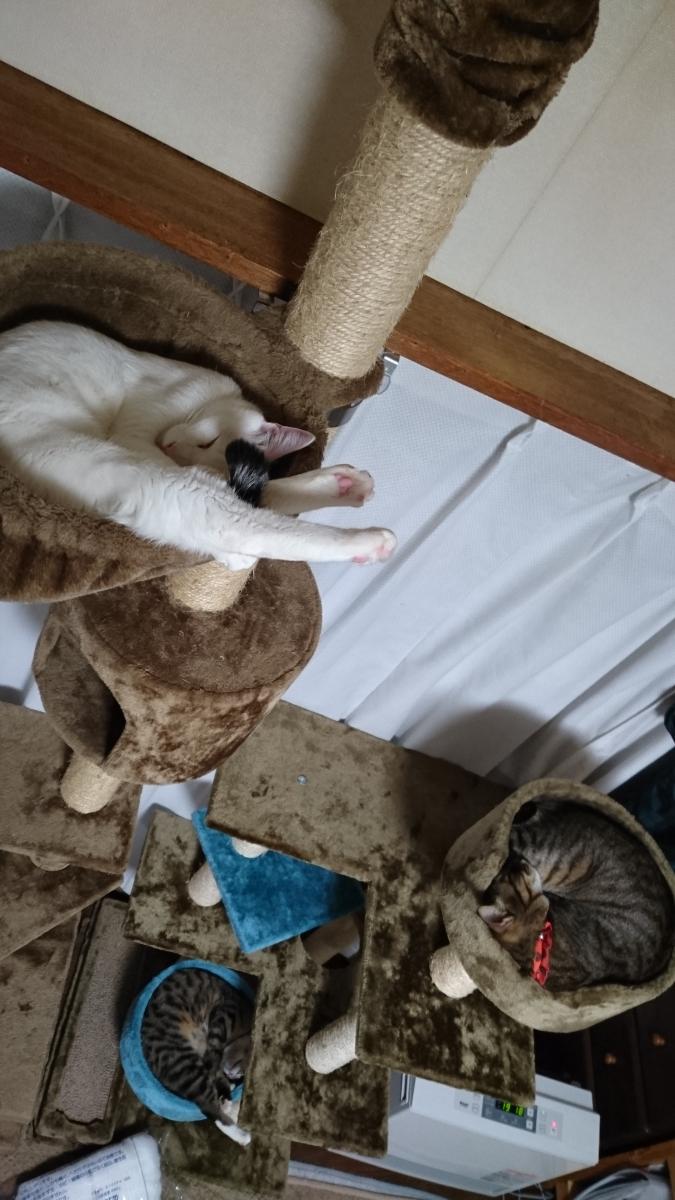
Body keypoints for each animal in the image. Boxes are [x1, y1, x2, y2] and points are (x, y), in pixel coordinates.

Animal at [0, 320, 397, 569]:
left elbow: (262, 490)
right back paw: (370, 542)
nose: (171, 448)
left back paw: (345, 486)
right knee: (238, 520)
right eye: (210, 440)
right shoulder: (135, 435)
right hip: (146, 478)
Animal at [141, 968, 254, 1126]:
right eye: (244, 1058)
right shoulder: (225, 1014)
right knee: (210, 1108)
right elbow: (214, 1059)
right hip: (184, 1062)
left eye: (241, 1075)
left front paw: (226, 1091)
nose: (235, 1075)